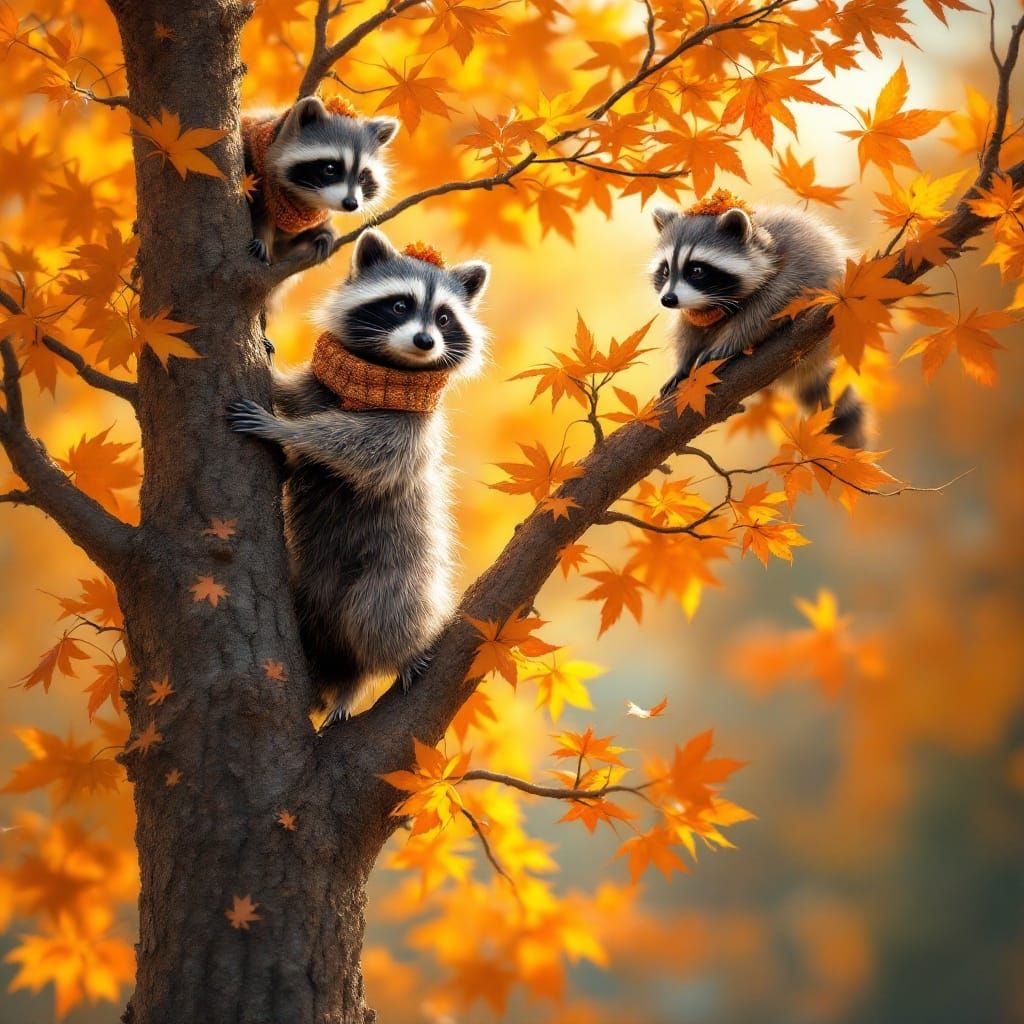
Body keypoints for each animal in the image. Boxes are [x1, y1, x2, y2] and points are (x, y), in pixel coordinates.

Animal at [226, 229, 490, 724]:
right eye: (401, 305)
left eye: (444, 317)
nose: (425, 340)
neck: (385, 370)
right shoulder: (320, 385)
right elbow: (295, 394)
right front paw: (272, 378)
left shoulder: (412, 433)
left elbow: (363, 449)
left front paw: (287, 431)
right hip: (311, 589)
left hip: (400, 569)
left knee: (381, 616)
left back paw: (391, 662)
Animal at [242, 96, 399, 268]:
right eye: (330, 169)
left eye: (362, 177)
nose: (351, 204)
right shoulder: (257, 174)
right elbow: (260, 213)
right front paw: (262, 237)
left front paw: (323, 232)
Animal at [651, 195, 867, 448]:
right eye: (666, 271)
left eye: (696, 271)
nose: (668, 300)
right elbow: (688, 330)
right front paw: (683, 364)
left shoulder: (793, 271)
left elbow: (763, 312)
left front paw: (730, 342)